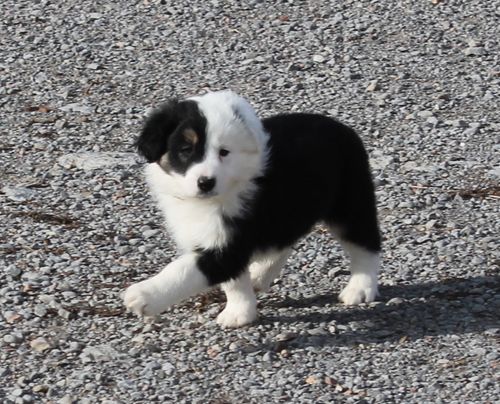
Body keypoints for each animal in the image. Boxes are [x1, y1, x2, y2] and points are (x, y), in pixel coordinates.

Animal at [123, 90, 380, 326]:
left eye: (224, 152)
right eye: (186, 150)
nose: (206, 182)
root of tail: (341, 127)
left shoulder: (229, 241)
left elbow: (185, 269)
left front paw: (144, 295)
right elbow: (234, 282)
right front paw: (240, 313)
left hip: (350, 203)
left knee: (365, 244)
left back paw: (360, 288)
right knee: (283, 242)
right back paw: (259, 275)